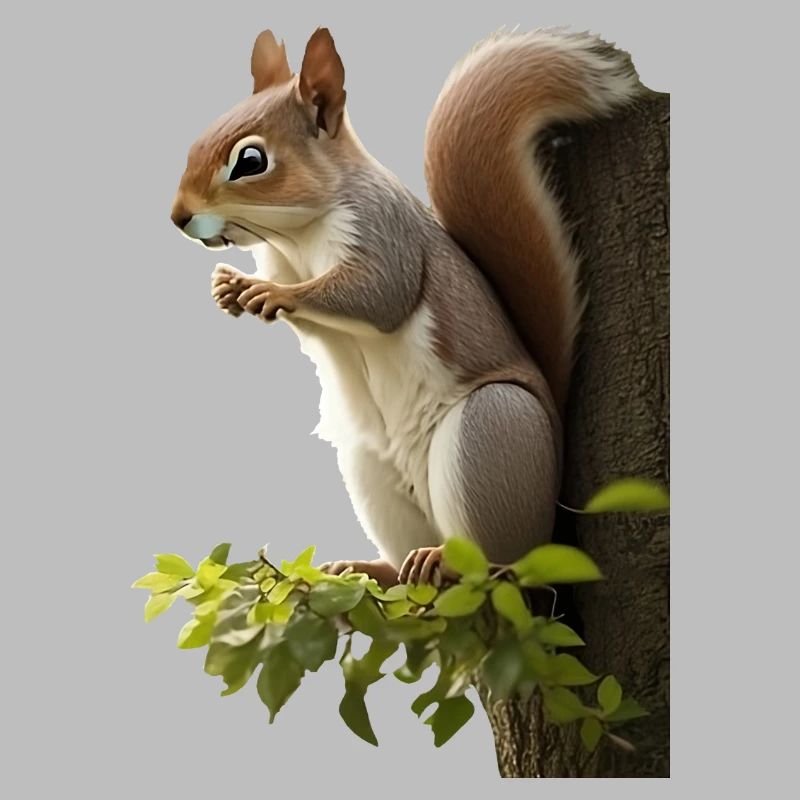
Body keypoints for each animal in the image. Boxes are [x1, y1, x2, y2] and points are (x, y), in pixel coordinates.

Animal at [171, 27, 641, 587]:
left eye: (250, 162)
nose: (178, 217)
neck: (297, 237)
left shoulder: (383, 230)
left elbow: (379, 295)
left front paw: (270, 293)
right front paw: (231, 287)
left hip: (494, 434)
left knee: (500, 561)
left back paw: (457, 561)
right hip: (370, 469)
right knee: (402, 558)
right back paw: (374, 567)